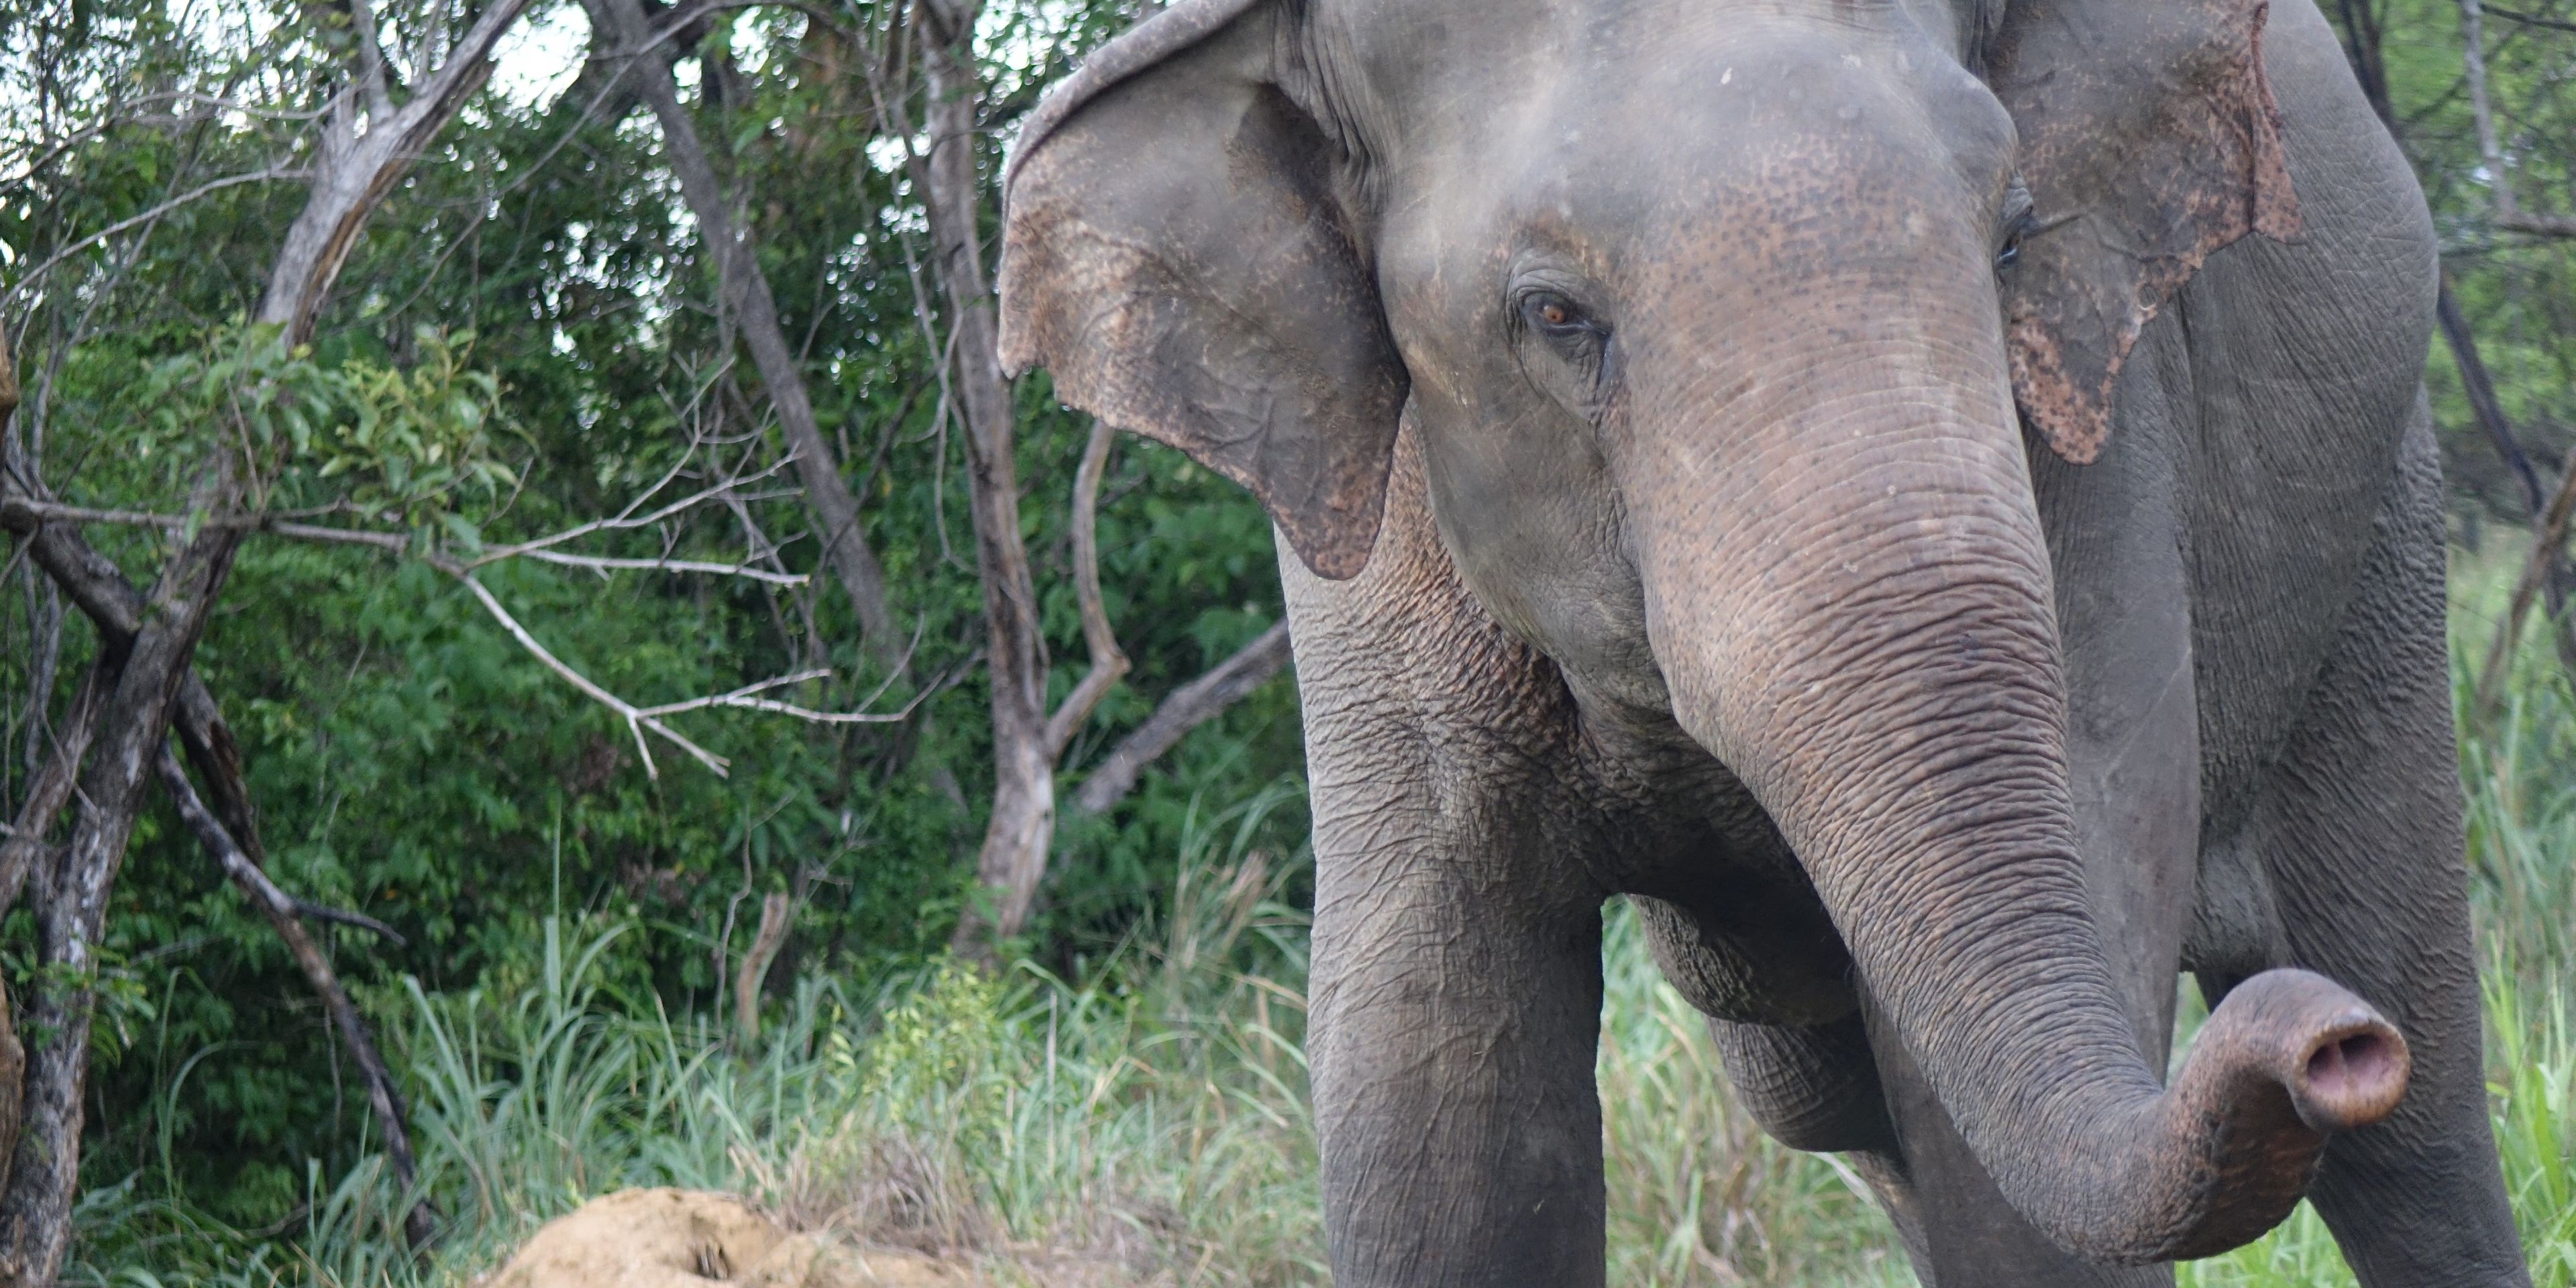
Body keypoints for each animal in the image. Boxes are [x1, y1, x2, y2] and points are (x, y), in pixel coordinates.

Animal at [997, 0, 2534, 1283]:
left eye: (2015, 241)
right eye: (1552, 315)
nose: (2323, 1045)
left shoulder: (2102, 430)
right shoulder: (1371, 548)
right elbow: (1431, 1094)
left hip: (2381, 554)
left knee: (2416, 1111)